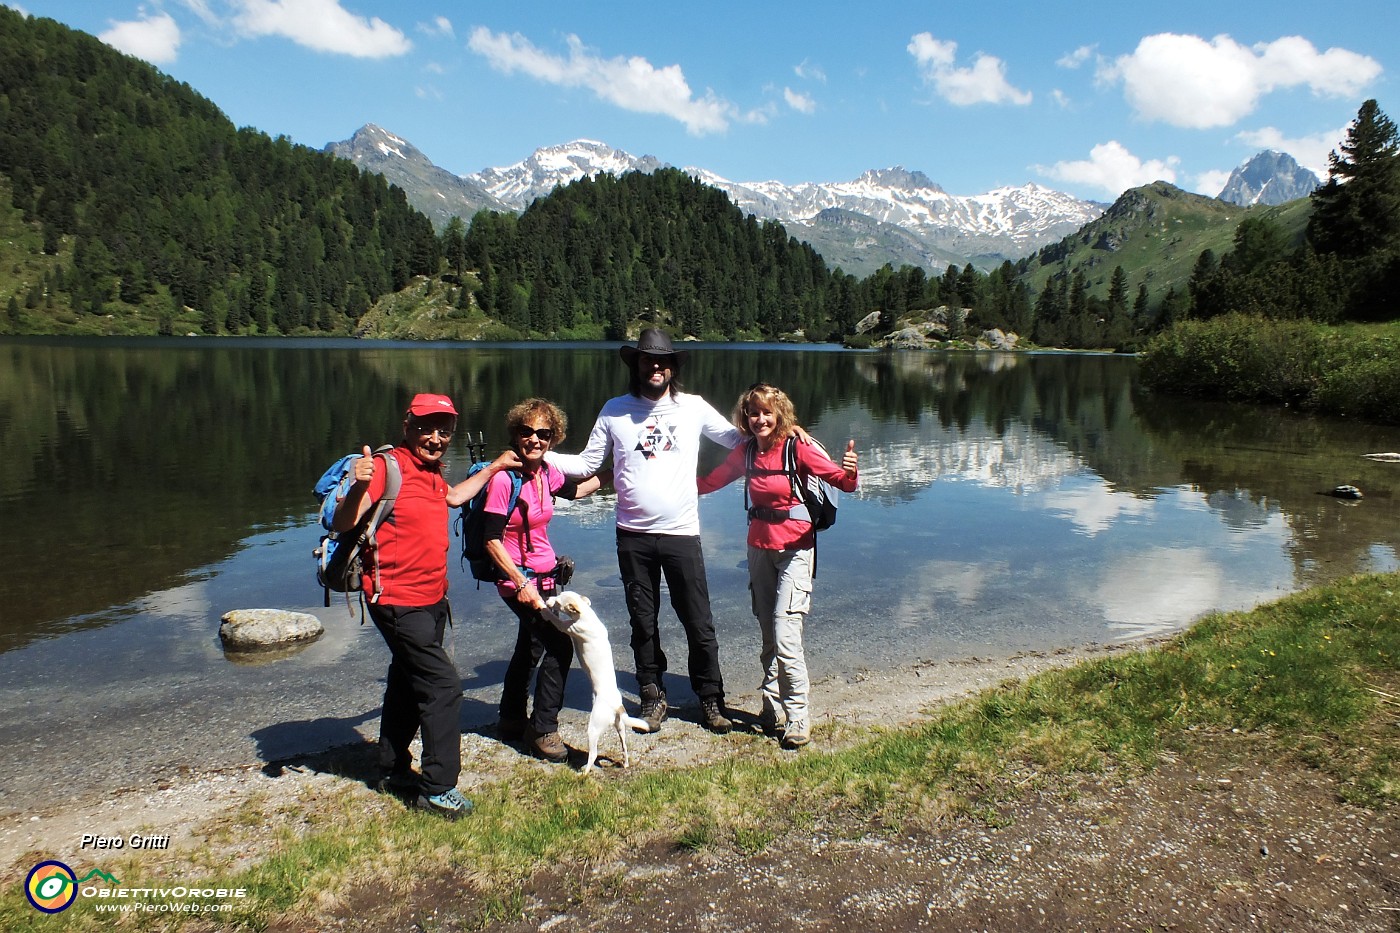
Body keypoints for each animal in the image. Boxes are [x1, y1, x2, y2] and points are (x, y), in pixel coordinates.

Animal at [540, 591, 649, 767]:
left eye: (557, 602)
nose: (547, 599)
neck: (585, 614)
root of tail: (617, 706)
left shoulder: (567, 627)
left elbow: (556, 620)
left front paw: (543, 610)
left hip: (594, 727)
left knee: (593, 754)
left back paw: (584, 771)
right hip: (620, 727)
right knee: (624, 747)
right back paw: (625, 764)